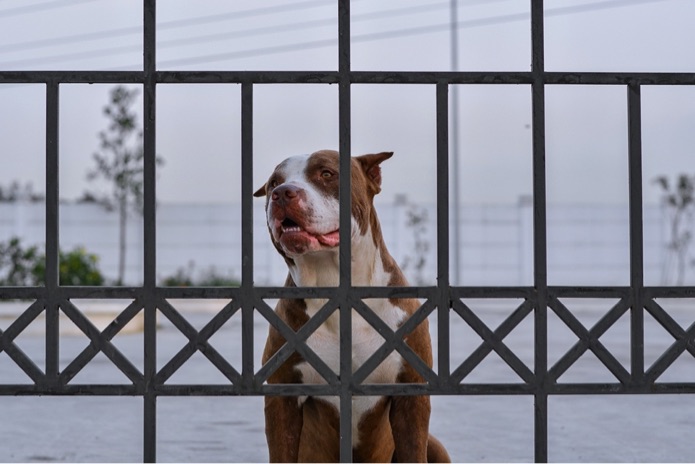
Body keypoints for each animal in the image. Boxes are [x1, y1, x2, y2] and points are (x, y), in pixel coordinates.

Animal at [256, 150, 452, 462]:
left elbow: (413, 449)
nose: (282, 193)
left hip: (436, 447)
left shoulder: (412, 395)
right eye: (274, 182)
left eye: (326, 173)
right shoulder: (282, 396)